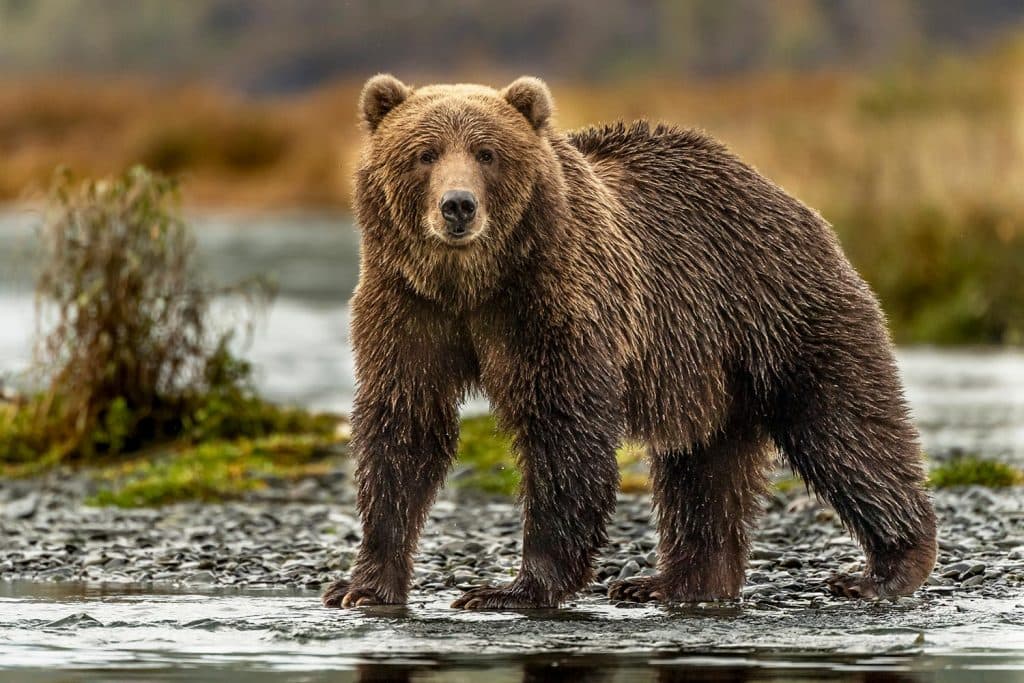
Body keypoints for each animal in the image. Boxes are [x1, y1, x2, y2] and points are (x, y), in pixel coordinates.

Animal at [322, 74, 937, 610]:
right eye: (425, 153)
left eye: (487, 153)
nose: (458, 206)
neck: (473, 284)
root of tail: (788, 199)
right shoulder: (407, 307)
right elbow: (405, 426)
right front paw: (362, 586)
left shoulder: (552, 305)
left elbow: (563, 430)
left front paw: (511, 589)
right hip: (709, 368)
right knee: (702, 467)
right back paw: (672, 581)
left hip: (779, 310)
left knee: (845, 428)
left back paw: (883, 568)